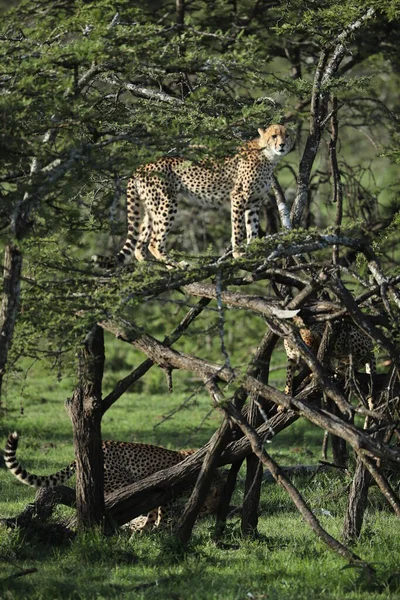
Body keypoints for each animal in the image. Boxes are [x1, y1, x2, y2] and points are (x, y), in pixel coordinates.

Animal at [112, 124, 294, 264]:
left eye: (287, 135)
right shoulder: (239, 196)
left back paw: (150, 266)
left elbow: (253, 227)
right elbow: (238, 228)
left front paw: (253, 249)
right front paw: (237, 253)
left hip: (151, 207)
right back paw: (177, 265)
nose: (283, 145)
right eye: (274, 136)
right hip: (167, 204)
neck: (267, 155)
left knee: (140, 243)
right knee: (154, 242)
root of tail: (142, 166)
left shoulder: (254, 201)